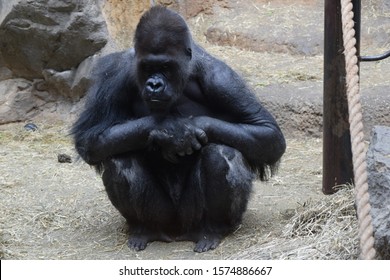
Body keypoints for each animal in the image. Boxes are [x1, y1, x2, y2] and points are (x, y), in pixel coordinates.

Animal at [72, 5, 286, 253]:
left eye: (165, 67)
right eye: (148, 67)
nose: (154, 84)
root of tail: (177, 233)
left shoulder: (222, 79)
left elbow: (268, 134)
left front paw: (191, 127)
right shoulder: (115, 73)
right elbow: (90, 138)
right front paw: (171, 129)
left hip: (191, 217)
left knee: (222, 152)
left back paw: (213, 230)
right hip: (164, 217)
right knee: (121, 159)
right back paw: (144, 229)